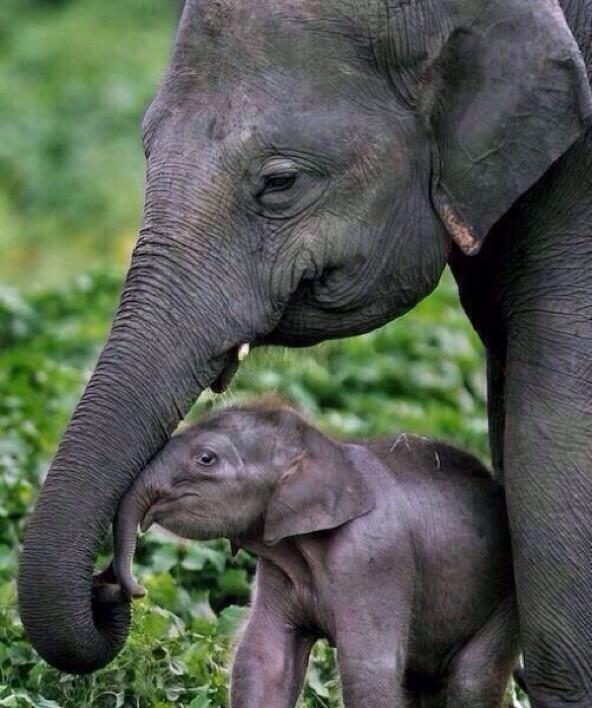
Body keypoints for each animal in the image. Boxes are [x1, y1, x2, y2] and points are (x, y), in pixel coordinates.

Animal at [111, 403, 519, 708]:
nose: (138, 590)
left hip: (504, 601)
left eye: (206, 459)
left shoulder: (374, 559)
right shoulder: (279, 566)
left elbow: (367, 669)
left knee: (471, 681)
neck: (326, 449)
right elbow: (264, 657)